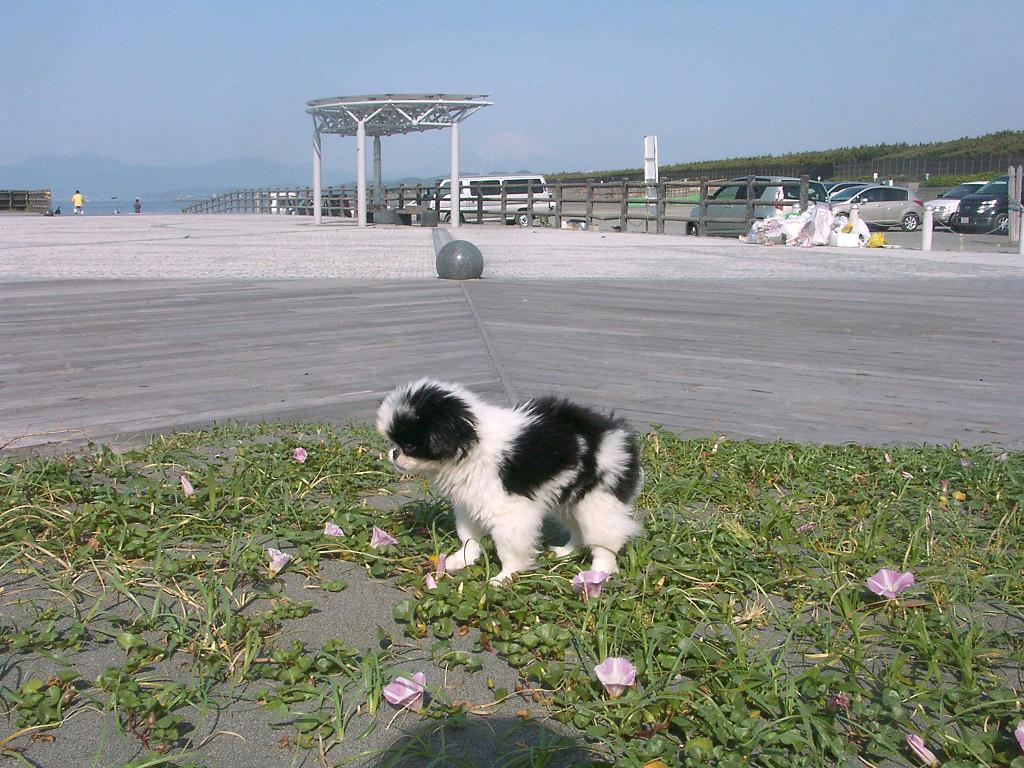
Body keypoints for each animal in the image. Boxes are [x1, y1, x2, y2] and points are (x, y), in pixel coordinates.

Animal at [376, 379, 643, 584]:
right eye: (395, 443)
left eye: (410, 445)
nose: (394, 453)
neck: (472, 446)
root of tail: (618, 434)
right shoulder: (470, 505)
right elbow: (469, 537)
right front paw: (463, 560)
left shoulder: (509, 514)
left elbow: (509, 550)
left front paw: (506, 576)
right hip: (569, 500)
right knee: (578, 531)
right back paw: (566, 552)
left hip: (598, 501)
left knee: (605, 539)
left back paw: (600, 572)